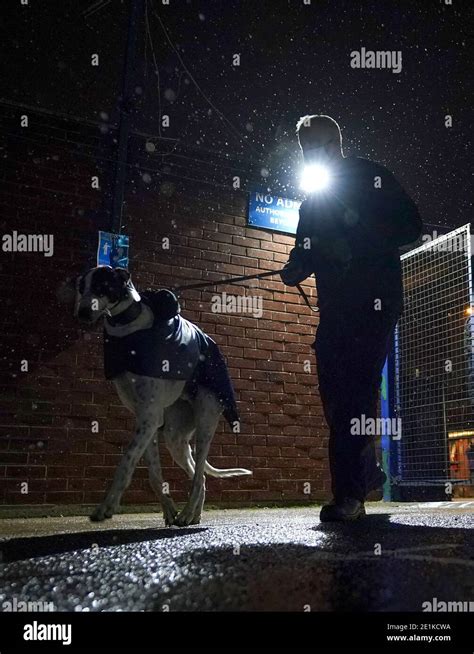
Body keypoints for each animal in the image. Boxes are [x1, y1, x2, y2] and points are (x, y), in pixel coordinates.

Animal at [60, 266, 252, 528]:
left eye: (102, 286)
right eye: (82, 287)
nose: (82, 313)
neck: (129, 330)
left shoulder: (148, 418)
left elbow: (125, 462)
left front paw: (106, 507)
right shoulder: (148, 421)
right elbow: (153, 474)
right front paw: (168, 510)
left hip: (205, 423)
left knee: (198, 475)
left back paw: (188, 513)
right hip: (175, 437)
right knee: (200, 477)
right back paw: (192, 515)